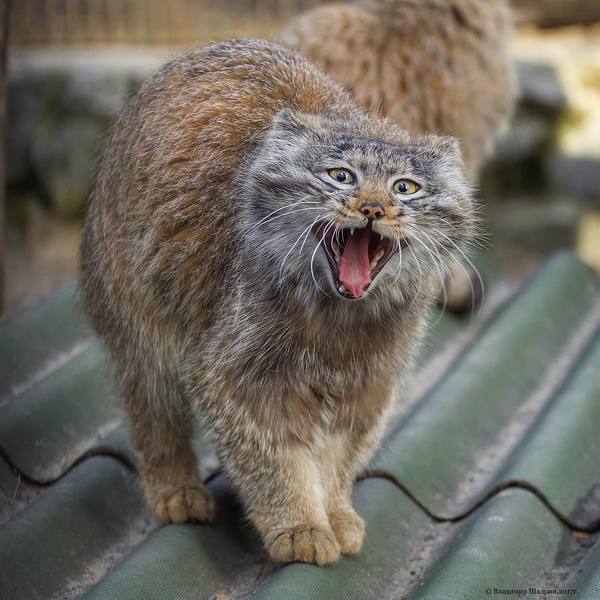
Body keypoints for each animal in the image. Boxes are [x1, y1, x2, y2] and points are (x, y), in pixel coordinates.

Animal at [79, 39, 476, 564]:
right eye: (342, 176)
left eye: (405, 187)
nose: (373, 208)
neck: (337, 317)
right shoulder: (236, 376)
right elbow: (274, 459)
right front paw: (299, 523)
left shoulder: (370, 383)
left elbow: (339, 458)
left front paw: (335, 509)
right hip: (142, 322)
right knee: (153, 411)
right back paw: (174, 487)